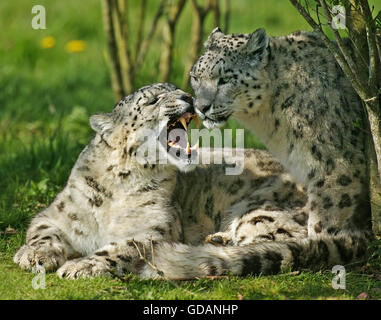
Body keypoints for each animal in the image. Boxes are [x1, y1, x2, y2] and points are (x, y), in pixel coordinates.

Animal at [14, 83, 314, 280]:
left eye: (178, 89)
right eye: (152, 100)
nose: (188, 97)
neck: (118, 187)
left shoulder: (152, 227)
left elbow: (121, 248)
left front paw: (82, 266)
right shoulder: (57, 214)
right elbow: (42, 232)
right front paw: (34, 255)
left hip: (258, 208)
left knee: (279, 237)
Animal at [190, 27, 372, 266]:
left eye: (225, 79)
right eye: (195, 77)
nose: (201, 107)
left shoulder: (335, 164)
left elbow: (325, 217)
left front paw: (320, 243)